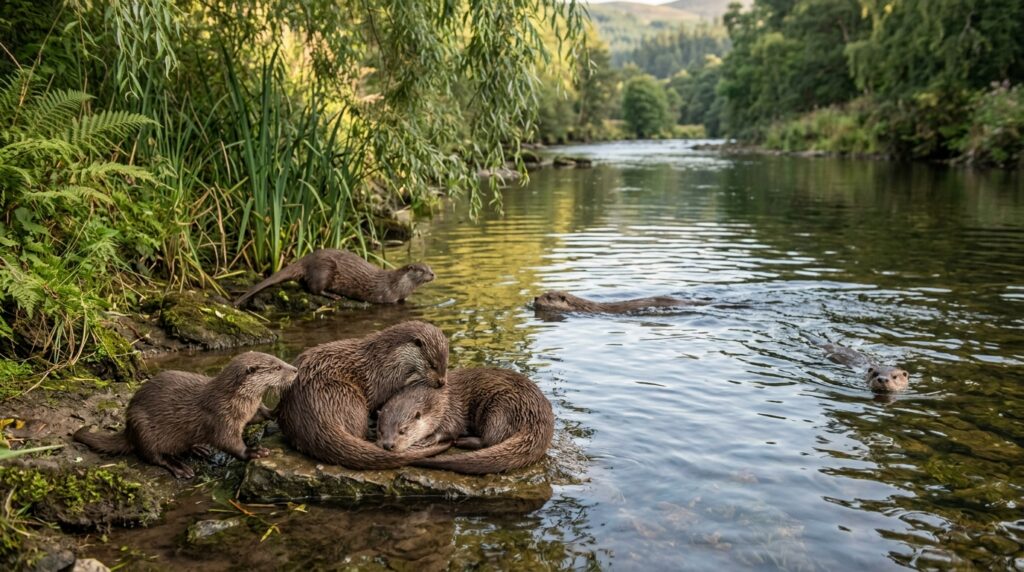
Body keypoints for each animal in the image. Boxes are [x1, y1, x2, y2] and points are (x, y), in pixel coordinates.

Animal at [74, 352, 297, 478]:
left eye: (279, 361)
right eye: (277, 367)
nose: (295, 369)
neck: (236, 401)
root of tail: (128, 428)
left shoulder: (250, 411)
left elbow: (260, 415)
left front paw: (276, 409)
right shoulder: (220, 418)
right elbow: (229, 443)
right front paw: (254, 452)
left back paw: (198, 449)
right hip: (142, 426)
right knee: (152, 456)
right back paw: (179, 467)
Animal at [233, 248, 435, 308]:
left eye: (430, 267)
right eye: (422, 270)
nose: (433, 274)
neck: (397, 284)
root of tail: (307, 259)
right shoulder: (386, 296)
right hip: (324, 269)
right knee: (314, 288)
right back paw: (334, 296)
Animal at [275, 320, 453, 470]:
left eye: (446, 364)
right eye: (432, 364)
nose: (441, 382)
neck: (387, 361)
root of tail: (312, 415)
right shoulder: (382, 383)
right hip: (346, 395)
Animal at [377, 367, 554, 475]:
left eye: (403, 430)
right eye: (381, 431)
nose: (388, 445)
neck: (439, 399)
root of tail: (535, 415)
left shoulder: (452, 410)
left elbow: (450, 428)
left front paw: (429, 439)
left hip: (501, 410)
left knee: (490, 440)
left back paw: (463, 441)